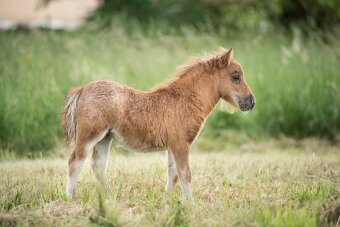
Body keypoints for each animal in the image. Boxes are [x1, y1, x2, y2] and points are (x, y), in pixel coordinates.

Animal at [62, 48, 255, 200]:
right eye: (235, 76)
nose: (251, 102)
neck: (185, 100)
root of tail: (82, 90)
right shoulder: (181, 144)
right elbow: (185, 173)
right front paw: (189, 203)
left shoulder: (172, 146)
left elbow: (173, 172)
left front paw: (168, 199)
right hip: (90, 135)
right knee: (75, 161)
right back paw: (69, 198)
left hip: (105, 138)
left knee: (98, 165)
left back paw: (110, 195)